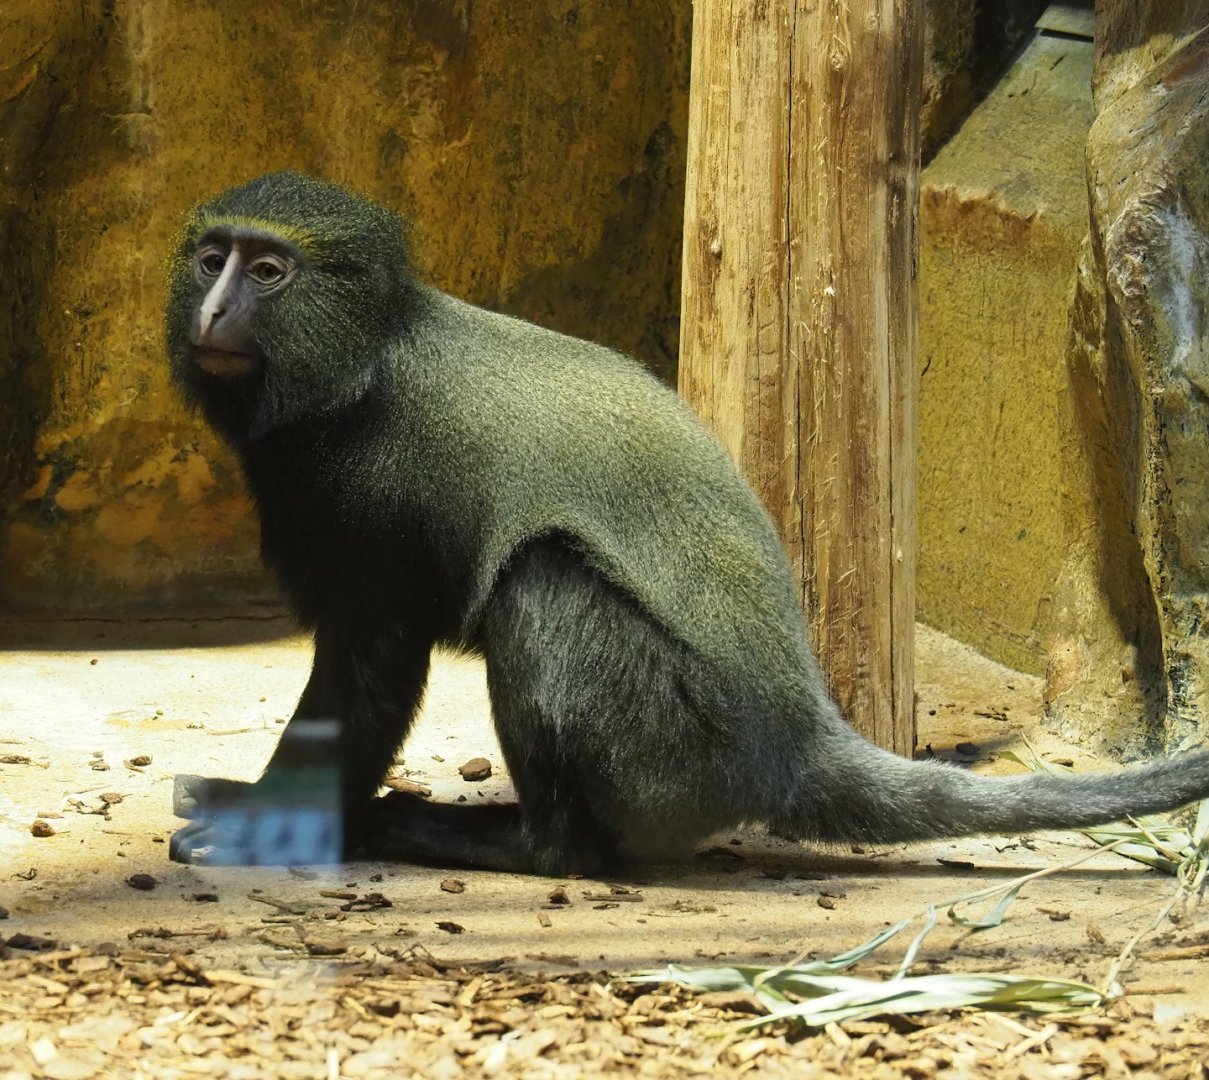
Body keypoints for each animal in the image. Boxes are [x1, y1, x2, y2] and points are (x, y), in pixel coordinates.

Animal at [164, 170, 1209, 874]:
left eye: (269, 271)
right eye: (212, 260)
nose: (212, 310)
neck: (364, 356)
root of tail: (795, 743)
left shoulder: (373, 512)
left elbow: (371, 676)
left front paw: (272, 821)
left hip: (671, 759)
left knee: (542, 583)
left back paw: (510, 843)